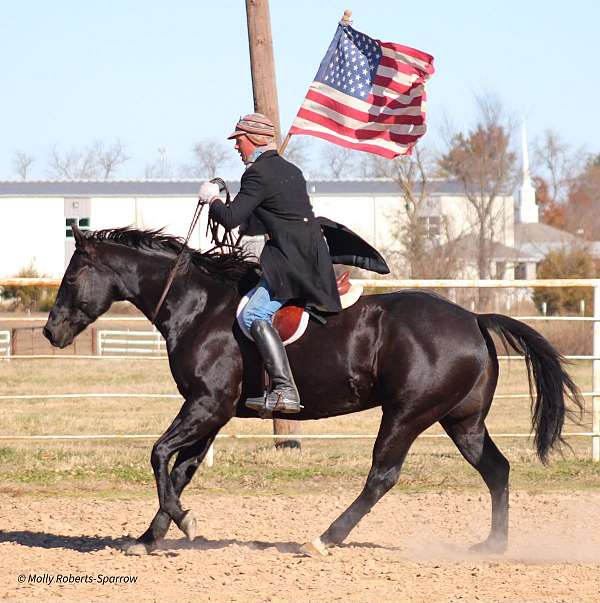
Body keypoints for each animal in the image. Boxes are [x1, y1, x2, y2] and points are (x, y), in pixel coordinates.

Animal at [44, 226, 584, 556]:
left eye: (70, 277)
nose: (51, 332)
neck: (198, 307)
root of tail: (473, 318)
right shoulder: (212, 412)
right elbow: (180, 471)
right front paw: (151, 536)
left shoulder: (206, 405)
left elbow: (159, 456)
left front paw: (184, 523)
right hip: (462, 421)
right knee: (496, 470)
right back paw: (493, 546)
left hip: (407, 414)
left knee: (382, 476)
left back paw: (324, 539)